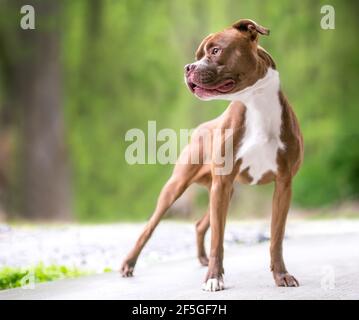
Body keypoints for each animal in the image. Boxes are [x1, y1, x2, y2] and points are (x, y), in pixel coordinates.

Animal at [120, 18, 304, 292]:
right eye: (198, 56)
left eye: (216, 51)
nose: (188, 67)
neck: (256, 104)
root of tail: (200, 128)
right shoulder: (222, 184)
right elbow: (218, 238)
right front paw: (214, 278)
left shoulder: (283, 183)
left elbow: (277, 236)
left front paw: (281, 275)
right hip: (178, 187)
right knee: (149, 228)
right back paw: (129, 264)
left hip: (226, 190)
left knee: (199, 225)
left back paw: (202, 259)